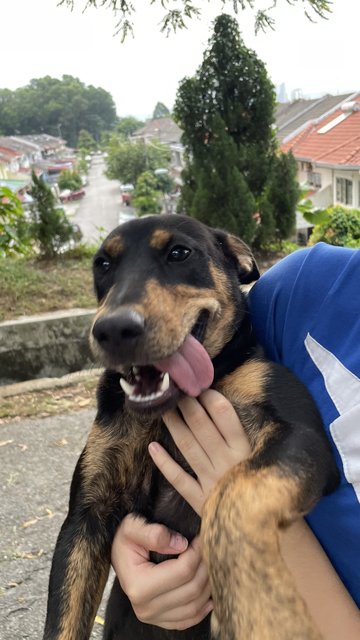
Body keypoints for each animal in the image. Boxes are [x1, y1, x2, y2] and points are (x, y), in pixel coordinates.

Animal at [43, 215, 338, 640]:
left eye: (179, 253)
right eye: (103, 265)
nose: (112, 330)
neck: (173, 406)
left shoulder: (305, 439)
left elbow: (232, 496)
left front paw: (262, 608)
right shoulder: (85, 516)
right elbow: (62, 621)